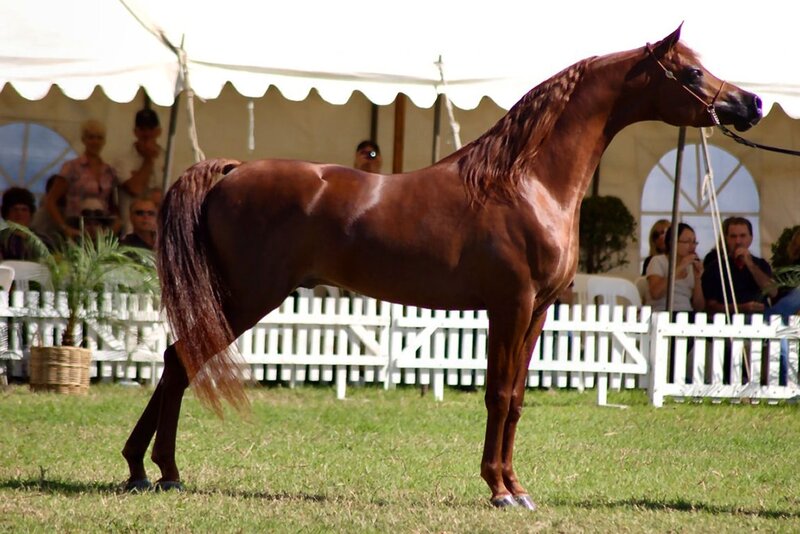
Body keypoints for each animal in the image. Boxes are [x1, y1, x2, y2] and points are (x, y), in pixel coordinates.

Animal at [122, 25, 761, 508]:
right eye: (693, 73)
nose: (751, 103)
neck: (528, 182)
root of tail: (230, 170)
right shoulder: (510, 306)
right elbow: (498, 393)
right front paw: (500, 491)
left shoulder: (538, 311)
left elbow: (518, 398)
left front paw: (517, 486)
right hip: (247, 296)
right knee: (181, 359)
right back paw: (162, 470)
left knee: (175, 360)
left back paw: (142, 469)